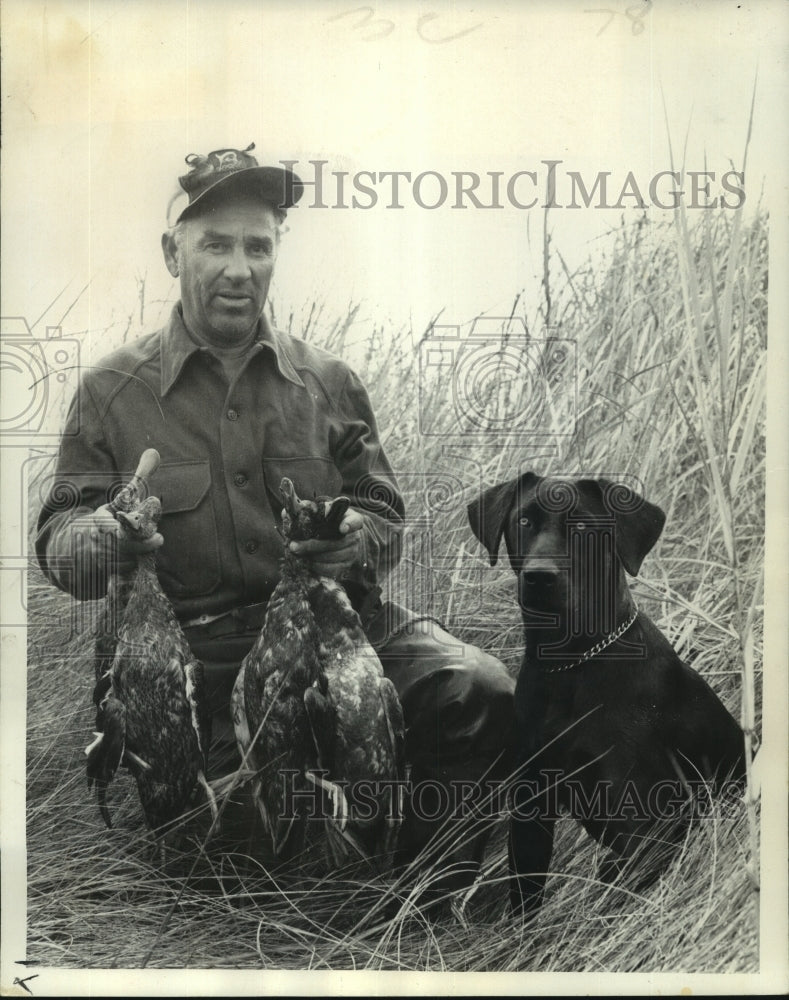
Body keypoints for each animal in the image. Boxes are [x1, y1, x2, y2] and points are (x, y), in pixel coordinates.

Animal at [468, 472, 744, 916]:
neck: (570, 664)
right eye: (524, 521)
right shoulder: (531, 804)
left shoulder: (645, 825)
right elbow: (525, 895)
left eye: (582, 526)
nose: (540, 576)